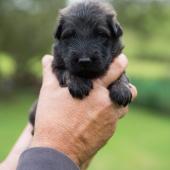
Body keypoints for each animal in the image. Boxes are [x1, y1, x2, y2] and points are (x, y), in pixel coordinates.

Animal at [29, 0, 131, 139]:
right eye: (70, 35)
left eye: (100, 34)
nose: (84, 60)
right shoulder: (57, 64)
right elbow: (68, 71)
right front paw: (79, 83)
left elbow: (122, 75)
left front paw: (121, 89)